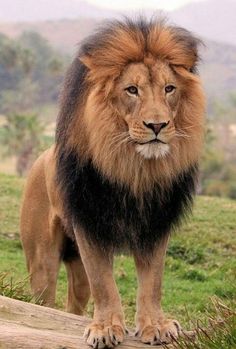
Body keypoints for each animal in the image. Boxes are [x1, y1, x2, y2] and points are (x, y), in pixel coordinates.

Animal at [20, 17, 205, 346]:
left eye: (169, 88)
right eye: (132, 90)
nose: (157, 125)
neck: (134, 170)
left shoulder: (154, 226)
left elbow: (153, 281)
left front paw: (155, 325)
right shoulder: (89, 224)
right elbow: (103, 283)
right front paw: (106, 328)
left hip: (75, 266)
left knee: (74, 303)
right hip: (42, 261)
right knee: (46, 300)